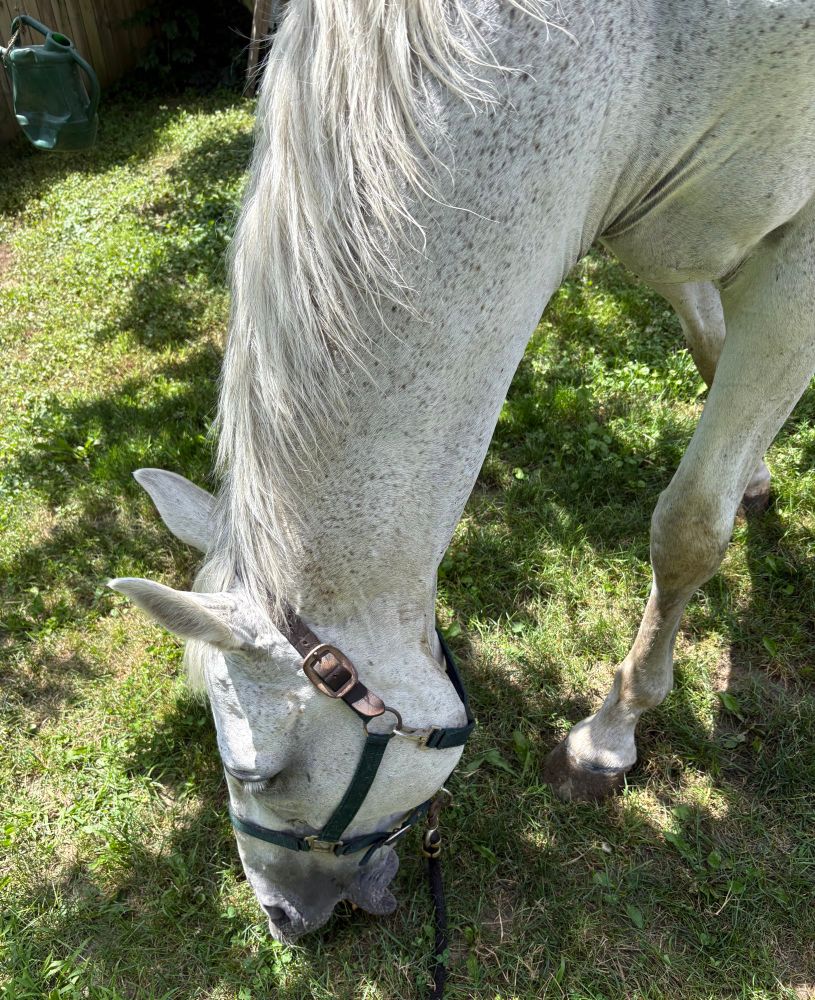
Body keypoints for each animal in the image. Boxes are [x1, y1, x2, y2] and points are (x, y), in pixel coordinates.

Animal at [109, 0, 815, 942]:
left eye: (260, 775)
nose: (282, 918)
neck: (638, 60)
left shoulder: (793, 257)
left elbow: (688, 528)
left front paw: (609, 733)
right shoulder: (671, 239)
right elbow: (709, 347)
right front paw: (756, 476)